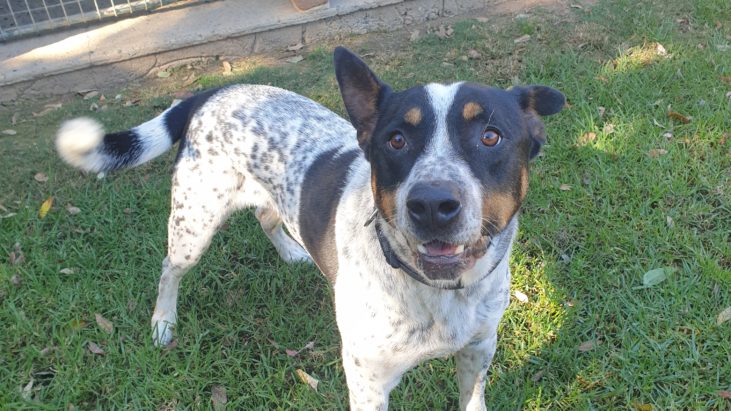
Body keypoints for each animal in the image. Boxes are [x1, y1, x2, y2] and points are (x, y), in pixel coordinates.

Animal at [57, 46, 568, 410]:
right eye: (396, 140)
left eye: (491, 136)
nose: (431, 204)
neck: (438, 294)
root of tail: (213, 92)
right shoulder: (368, 383)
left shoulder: (479, 350)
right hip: (193, 222)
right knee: (170, 268)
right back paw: (163, 322)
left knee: (267, 216)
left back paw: (291, 252)